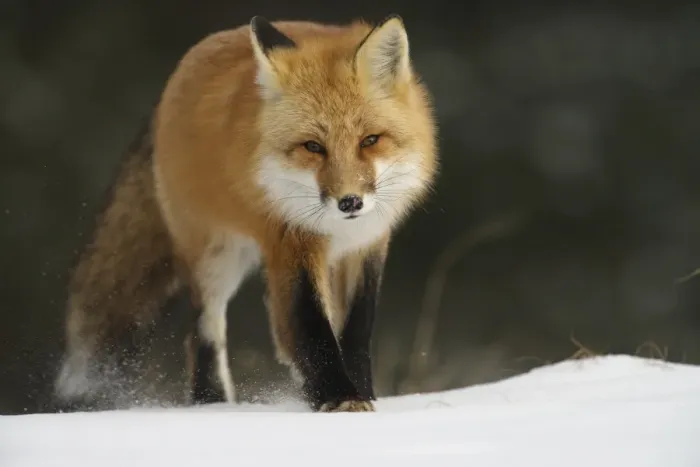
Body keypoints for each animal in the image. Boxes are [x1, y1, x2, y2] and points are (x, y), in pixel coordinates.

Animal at [54, 14, 438, 413]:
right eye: (313, 147)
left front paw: (361, 393)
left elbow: (356, 331)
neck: (338, 230)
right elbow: (312, 327)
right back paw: (212, 404)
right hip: (216, 258)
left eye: (370, 140)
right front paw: (339, 397)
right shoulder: (290, 242)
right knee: (203, 333)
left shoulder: (368, 245)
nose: (349, 202)